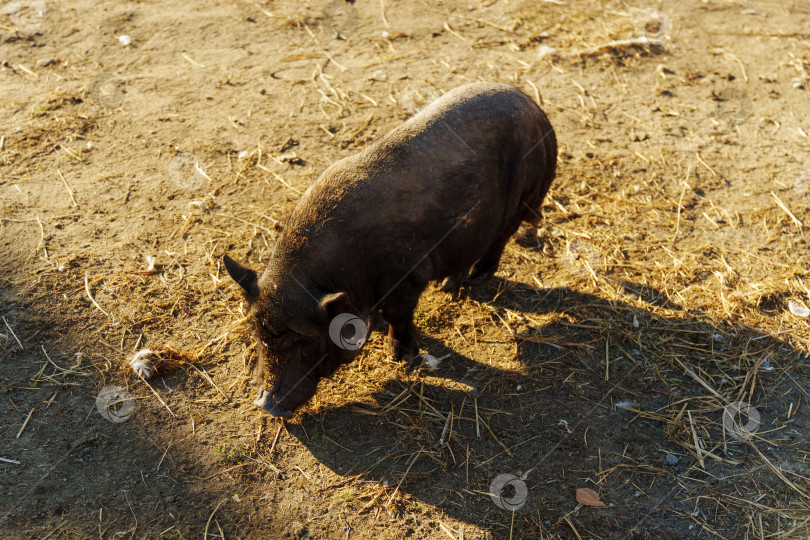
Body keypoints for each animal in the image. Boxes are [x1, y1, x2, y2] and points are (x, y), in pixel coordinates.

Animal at [223, 81, 557, 418]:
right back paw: (448, 286)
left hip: (526, 197)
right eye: (258, 334)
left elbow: (398, 314)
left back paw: (477, 279)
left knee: (500, 239)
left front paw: (401, 359)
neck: (344, 274)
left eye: (306, 345)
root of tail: (533, 106)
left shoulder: (408, 274)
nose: (266, 404)